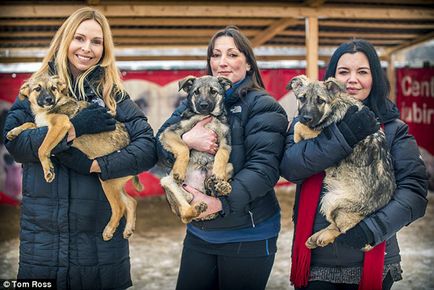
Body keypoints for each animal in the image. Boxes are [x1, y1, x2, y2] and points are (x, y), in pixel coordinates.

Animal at [6, 74, 141, 240]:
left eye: (53, 88)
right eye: (37, 88)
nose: (49, 99)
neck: (45, 110)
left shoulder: (60, 124)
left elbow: (41, 148)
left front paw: (48, 169)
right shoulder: (43, 127)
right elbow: (29, 124)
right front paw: (13, 131)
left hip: (107, 181)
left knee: (120, 207)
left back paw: (109, 230)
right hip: (115, 183)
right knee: (131, 202)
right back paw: (128, 229)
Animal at [286, 75, 396, 251]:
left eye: (320, 100)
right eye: (302, 98)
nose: (307, 118)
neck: (335, 105)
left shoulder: (320, 131)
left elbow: (299, 126)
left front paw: (297, 137)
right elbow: (299, 125)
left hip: (333, 202)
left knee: (342, 230)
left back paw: (324, 236)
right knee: (335, 226)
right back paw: (316, 237)